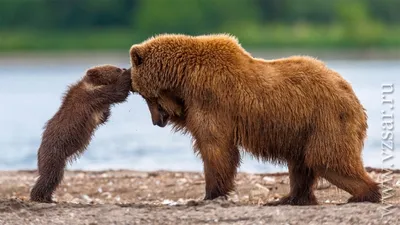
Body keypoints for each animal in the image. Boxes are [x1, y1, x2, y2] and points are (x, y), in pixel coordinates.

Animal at [129, 33, 382, 206]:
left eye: (144, 95)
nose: (156, 121)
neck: (183, 76)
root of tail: (352, 95)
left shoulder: (210, 98)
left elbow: (215, 147)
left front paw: (209, 194)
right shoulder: (194, 102)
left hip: (326, 119)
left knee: (327, 159)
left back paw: (364, 193)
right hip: (303, 130)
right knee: (301, 164)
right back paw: (289, 198)